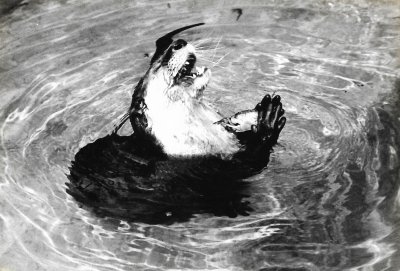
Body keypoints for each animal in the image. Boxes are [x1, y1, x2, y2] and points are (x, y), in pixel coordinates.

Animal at [68, 22, 288, 223]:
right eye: (161, 62)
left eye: (158, 57)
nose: (178, 43)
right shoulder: (200, 172)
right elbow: (246, 167)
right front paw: (268, 119)